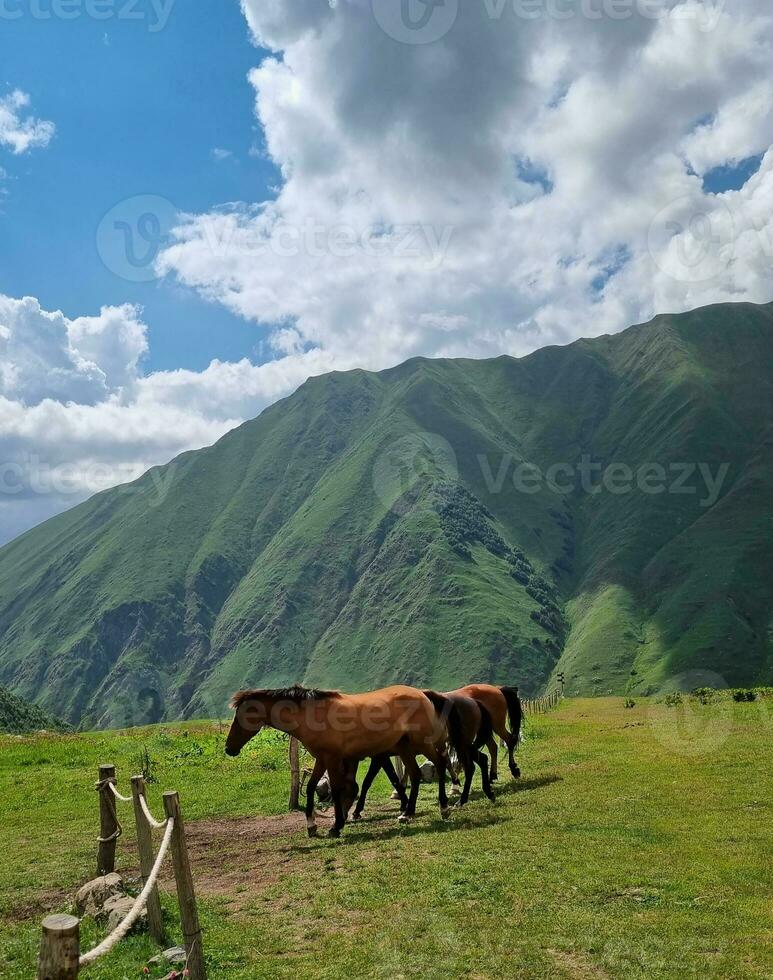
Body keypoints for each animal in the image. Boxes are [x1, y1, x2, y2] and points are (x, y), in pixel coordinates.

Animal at [223, 684, 452, 840]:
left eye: (240, 717)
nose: (228, 749)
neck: (312, 715)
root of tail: (422, 694)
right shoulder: (322, 758)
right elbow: (312, 786)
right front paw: (311, 825)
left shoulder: (333, 758)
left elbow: (337, 789)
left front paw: (336, 826)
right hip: (404, 748)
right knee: (415, 773)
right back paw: (407, 813)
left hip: (423, 743)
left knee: (440, 764)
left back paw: (444, 808)